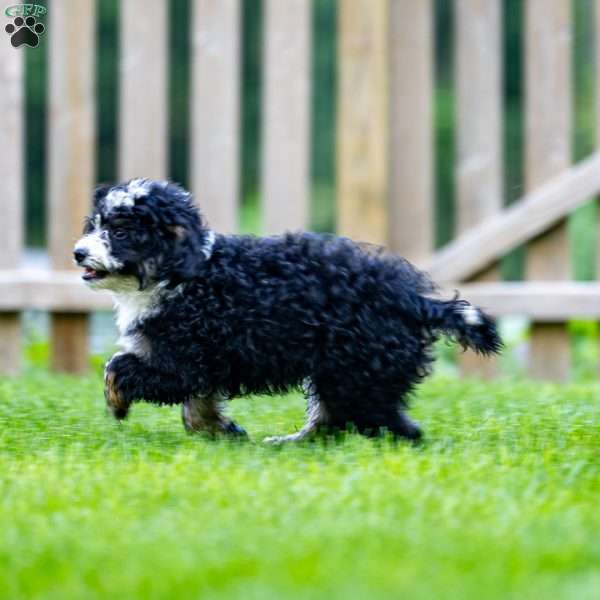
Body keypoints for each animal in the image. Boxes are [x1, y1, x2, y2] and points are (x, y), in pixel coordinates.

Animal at [74, 178, 502, 440]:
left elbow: (119, 366)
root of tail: (413, 300)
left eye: (121, 231)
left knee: (391, 426)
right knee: (337, 420)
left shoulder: (184, 357)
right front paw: (219, 431)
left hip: (357, 372)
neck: (184, 271)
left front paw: (116, 403)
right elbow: (197, 403)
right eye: (94, 224)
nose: (78, 252)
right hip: (344, 372)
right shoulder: (204, 361)